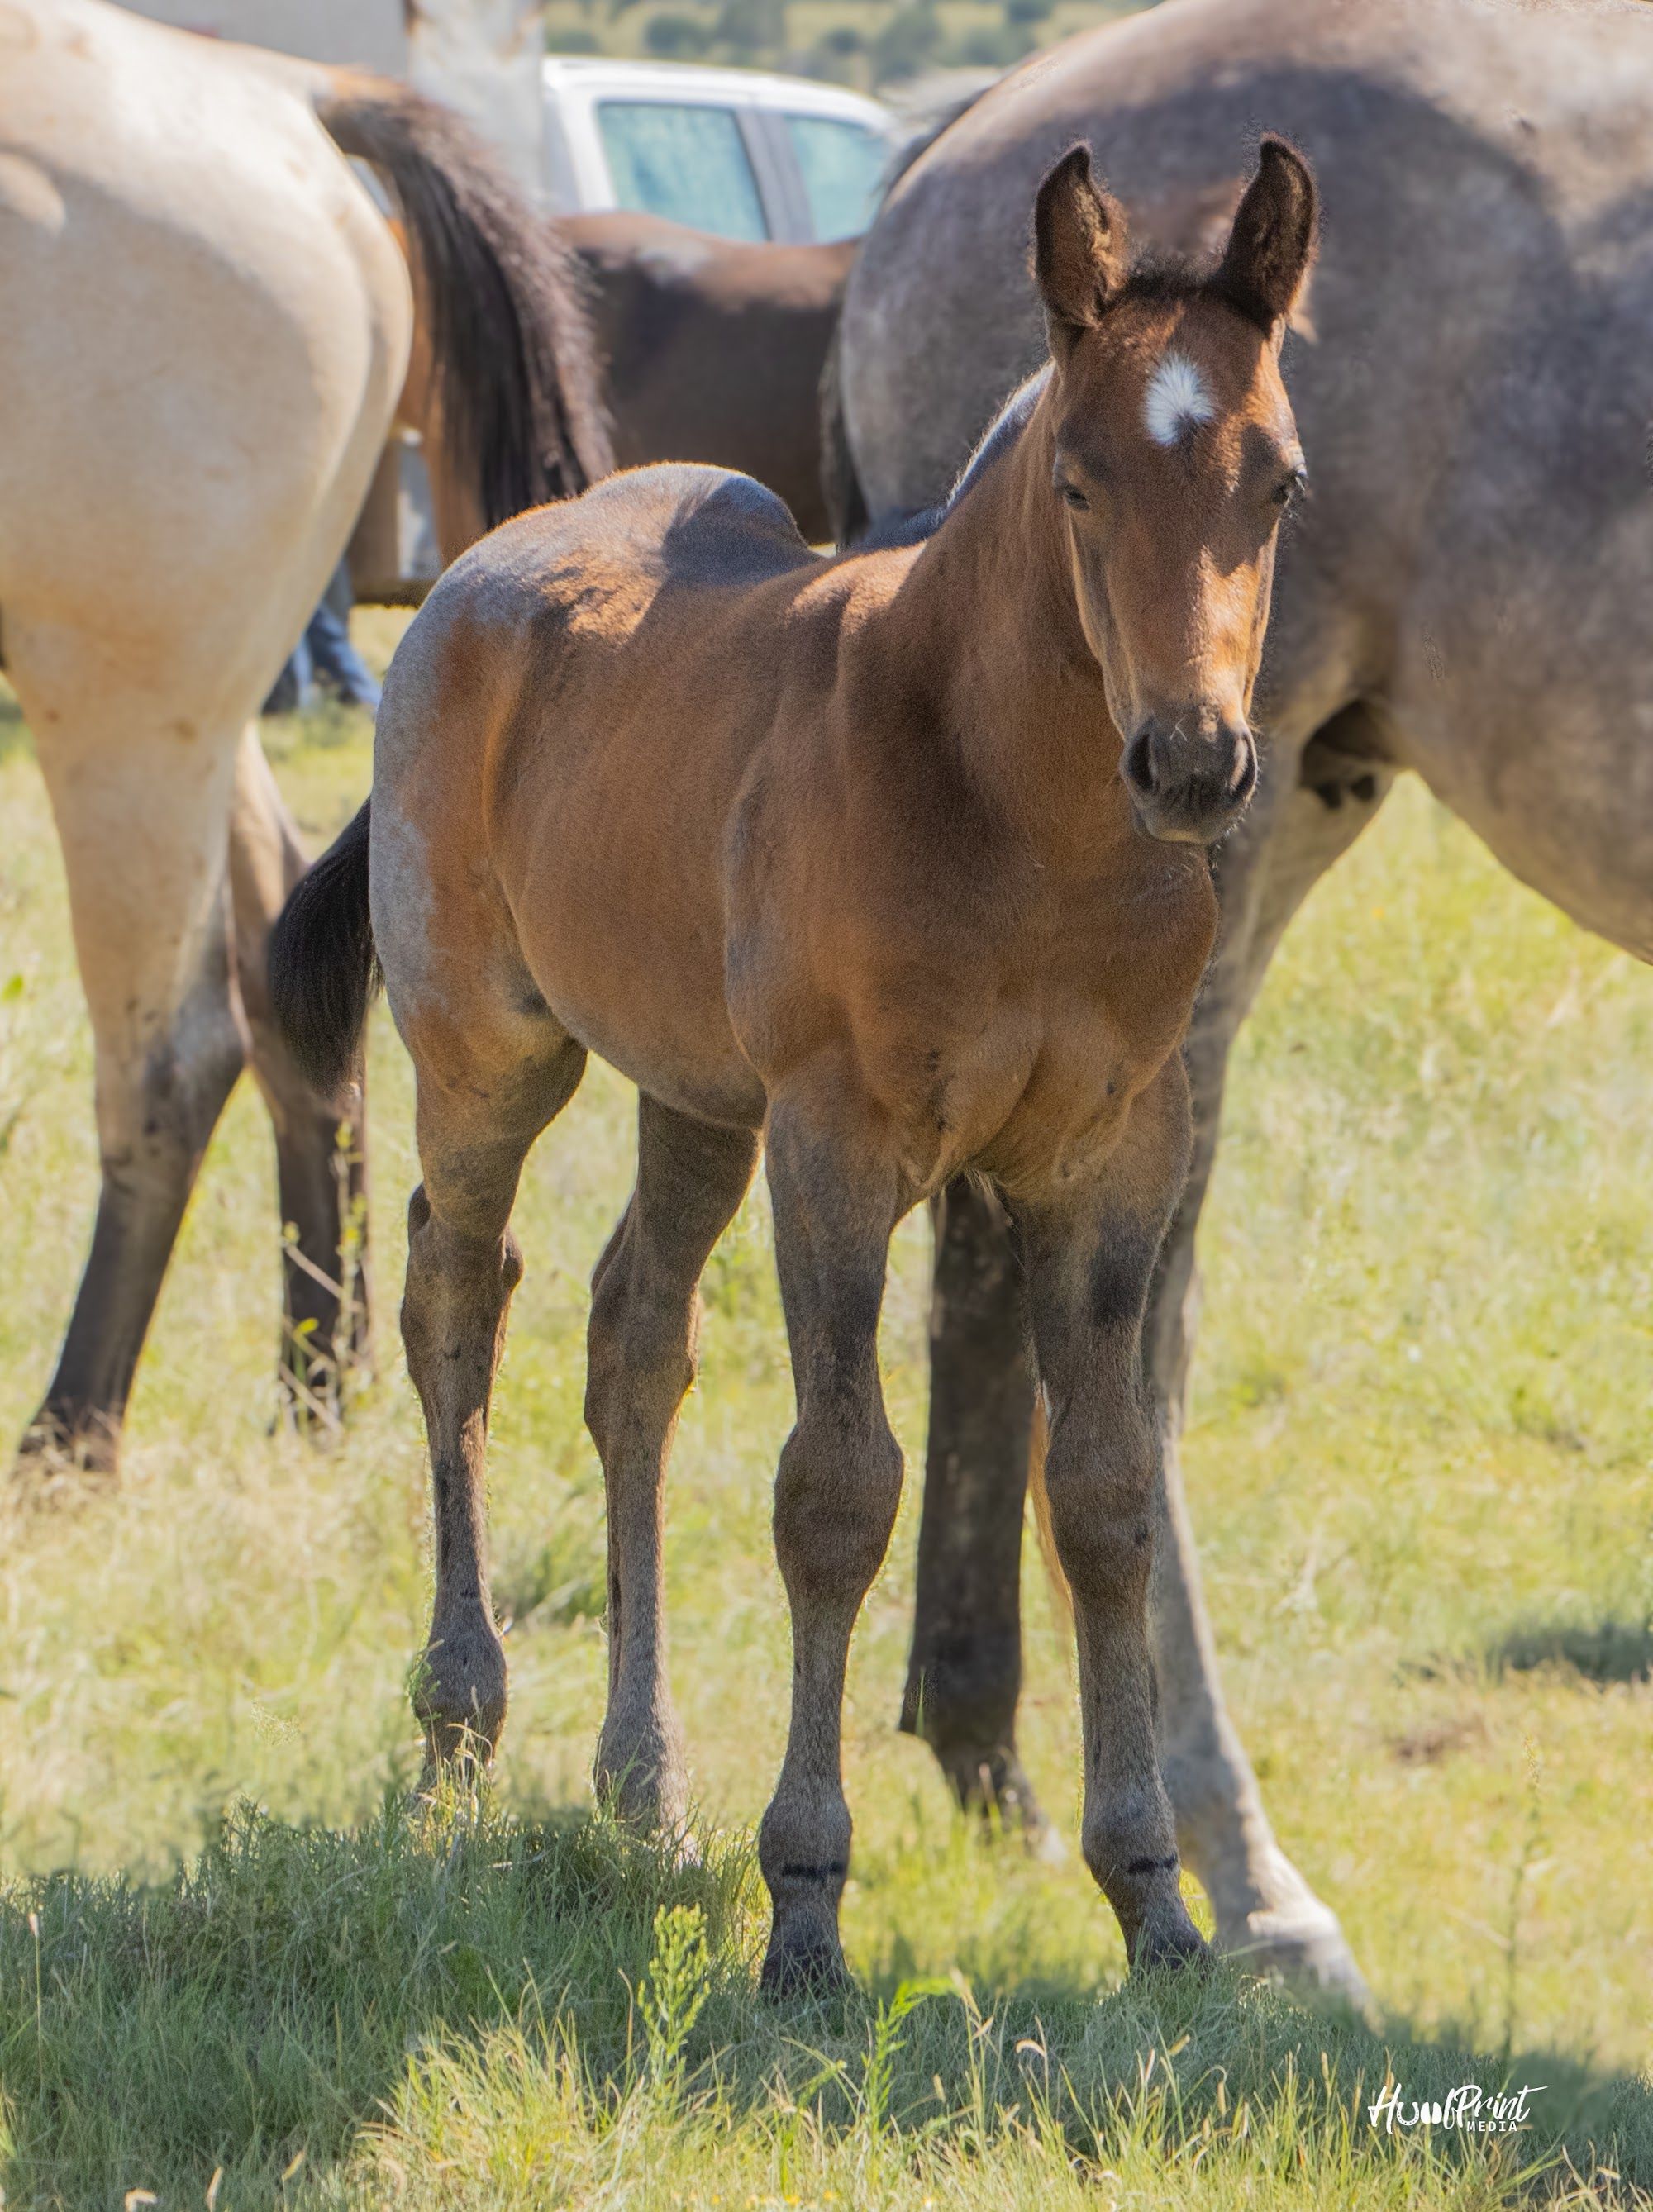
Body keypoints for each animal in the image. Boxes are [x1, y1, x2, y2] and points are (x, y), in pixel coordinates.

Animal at [1, 0, 610, 1479]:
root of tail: (285, 97)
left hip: (122, 703)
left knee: (175, 1051)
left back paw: (72, 1429)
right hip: (187, 700)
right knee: (289, 967)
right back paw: (316, 1375)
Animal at [827, 0, 1653, 2003]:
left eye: (1277, 479)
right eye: (1081, 484)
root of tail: (962, 136)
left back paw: (992, 1754)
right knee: (1125, 1357)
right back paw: (1241, 1878)